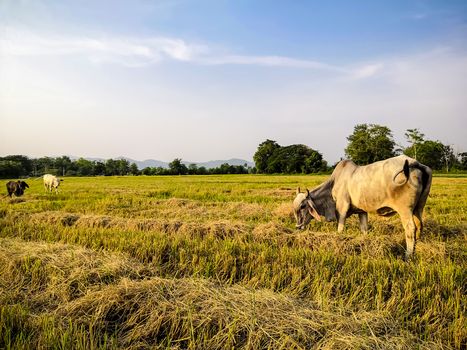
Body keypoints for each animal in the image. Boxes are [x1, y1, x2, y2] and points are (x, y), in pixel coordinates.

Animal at [294, 154, 434, 258]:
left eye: (302, 206)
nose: (298, 227)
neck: (332, 186)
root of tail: (414, 162)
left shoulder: (341, 209)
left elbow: (340, 229)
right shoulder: (362, 212)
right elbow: (364, 229)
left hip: (405, 210)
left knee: (410, 229)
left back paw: (408, 256)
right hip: (418, 208)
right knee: (419, 225)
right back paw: (417, 248)